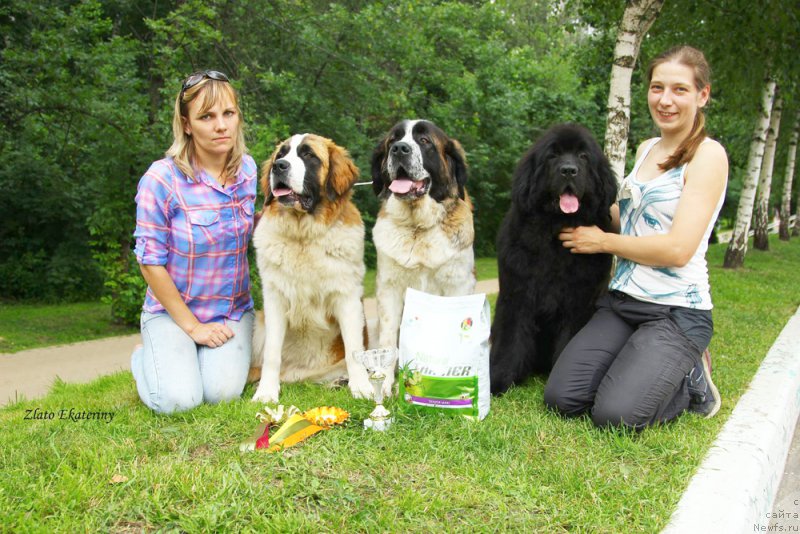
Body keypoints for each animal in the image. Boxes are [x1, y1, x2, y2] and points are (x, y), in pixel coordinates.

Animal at [250, 133, 372, 402]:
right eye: (281, 154)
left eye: (308, 155)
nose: (278, 166)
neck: (303, 236)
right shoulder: (274, 300)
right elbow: (272, 353)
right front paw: (266, 392)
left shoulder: (348, 299)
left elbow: (354, 349)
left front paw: (362, 387)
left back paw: (339, 381)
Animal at [374, 119, 478, 358]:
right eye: (392, 140)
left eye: (424, 140)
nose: (399, 149)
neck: (417, 228)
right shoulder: (389, 287)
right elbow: (388, 336)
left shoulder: (458, 284)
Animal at [488, 123, 620, 396]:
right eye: (553, 156)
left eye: (583, 156)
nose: (568, 170)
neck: (555, 232)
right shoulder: (517, 295)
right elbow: (510, 338)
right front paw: (498, 380)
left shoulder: (579, 301)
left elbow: (570, 340)